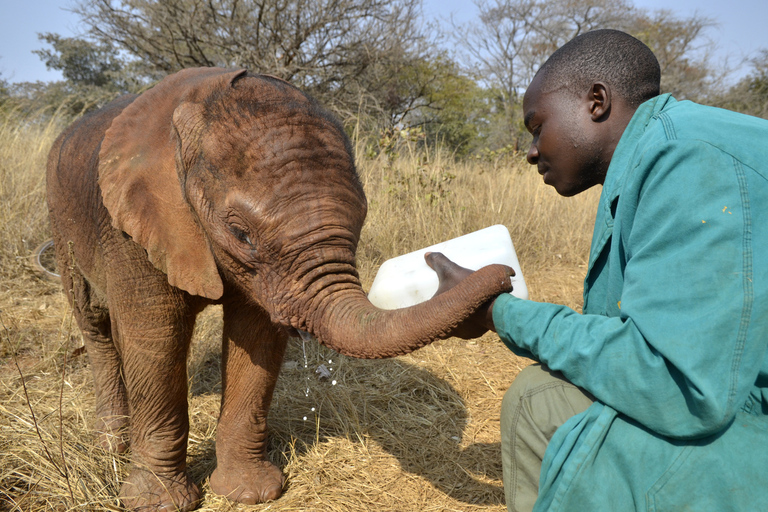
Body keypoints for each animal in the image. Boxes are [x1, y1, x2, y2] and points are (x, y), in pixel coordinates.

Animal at [46, 68, 510, 512]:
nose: (505, 273)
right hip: (61, 221)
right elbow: (156, 339)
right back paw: (112, 444)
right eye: (241, 234)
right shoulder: (130, 227)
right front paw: (158, 503)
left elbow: (256, 338)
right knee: (95, 324)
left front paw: (251, 493)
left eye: (363, 218)